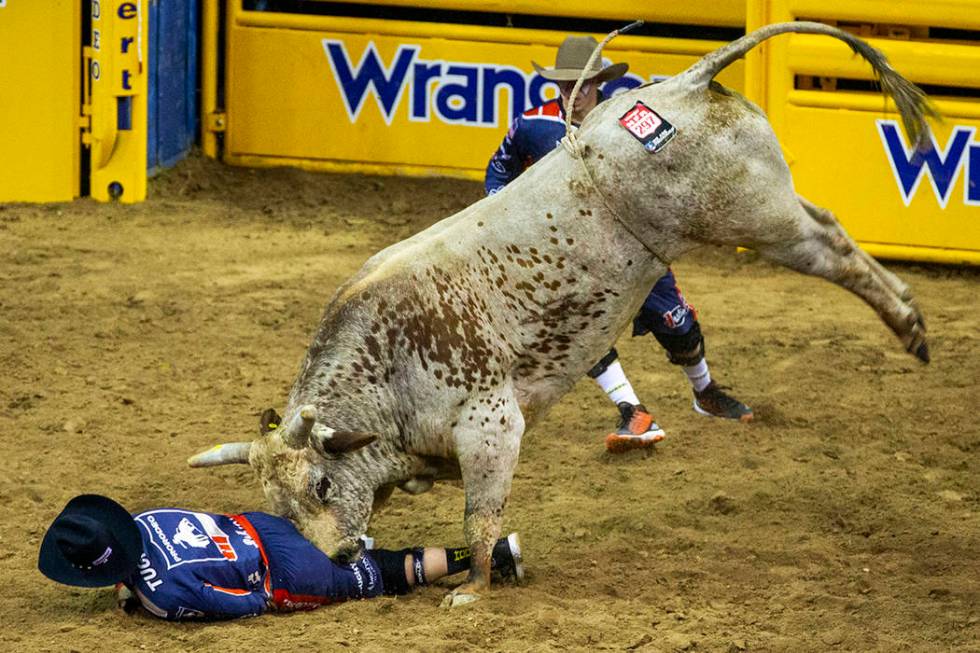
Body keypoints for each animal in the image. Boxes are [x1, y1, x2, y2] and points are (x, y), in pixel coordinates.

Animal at [189, 24, 936, 608]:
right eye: (281, 510)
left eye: (321, 483)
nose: (339, 559)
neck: (387, 362)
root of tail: (684, 83)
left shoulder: (490, 427)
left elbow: (480, 516)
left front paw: (474, 588)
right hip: (763, 208)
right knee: (826, 228)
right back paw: (910, 320)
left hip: (750, 215)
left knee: (830, 246)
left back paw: (911, 327)